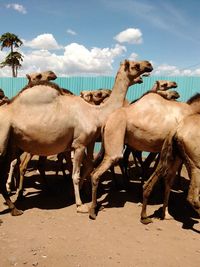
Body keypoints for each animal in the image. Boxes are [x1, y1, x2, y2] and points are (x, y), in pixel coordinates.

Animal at [0, 59, 152, 217]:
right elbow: (76, 174)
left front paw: (79, 194)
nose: (149, 65)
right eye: (135, 66)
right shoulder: (79, 144)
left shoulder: (88, 142)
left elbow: (89, 166)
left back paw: (15, 207)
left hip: (12, 144)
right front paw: (80, 204)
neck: (96, 113)